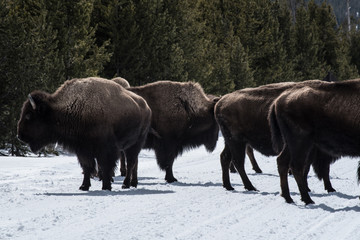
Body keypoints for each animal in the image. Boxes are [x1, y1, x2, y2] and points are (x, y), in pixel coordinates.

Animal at [16, 77, 151, 191]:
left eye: (29, 115)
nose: (19, 136)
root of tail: (146, 105)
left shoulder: (105, 150)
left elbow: (105, 167)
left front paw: (106, 186)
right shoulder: (83, 150)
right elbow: (87, 167)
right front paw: (84, 186)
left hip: (134, 145)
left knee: (131, 163)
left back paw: (126, 184)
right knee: (132, 163)